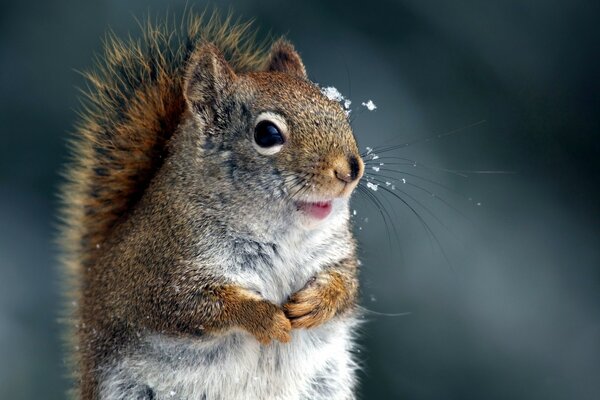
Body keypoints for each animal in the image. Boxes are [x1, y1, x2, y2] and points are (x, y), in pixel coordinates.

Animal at [58, 12, 364, 400]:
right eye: (267, 134)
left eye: (338, 108)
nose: (350, 169)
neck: (283, 233)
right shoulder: (162, 272)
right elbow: (200, 307)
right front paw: (264, 318)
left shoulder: (336, 253)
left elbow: (345, 284)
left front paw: (316, 303)